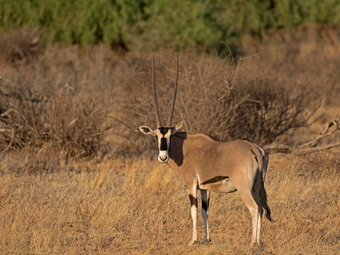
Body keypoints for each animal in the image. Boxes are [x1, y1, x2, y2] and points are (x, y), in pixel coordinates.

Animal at [137, 54, 272, 247]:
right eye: (156, 136)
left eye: (170, 135)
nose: (162, 157)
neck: (184, 149)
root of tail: (254, 149)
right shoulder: (203, 188)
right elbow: (205, 212)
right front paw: (205, 239)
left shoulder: (190, 184)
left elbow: (193, 211)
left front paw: (192, 240)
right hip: (256, 186)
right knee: (261, 208)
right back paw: (258, 242)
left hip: (244, 187)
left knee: (255, 209)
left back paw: (253, 242)